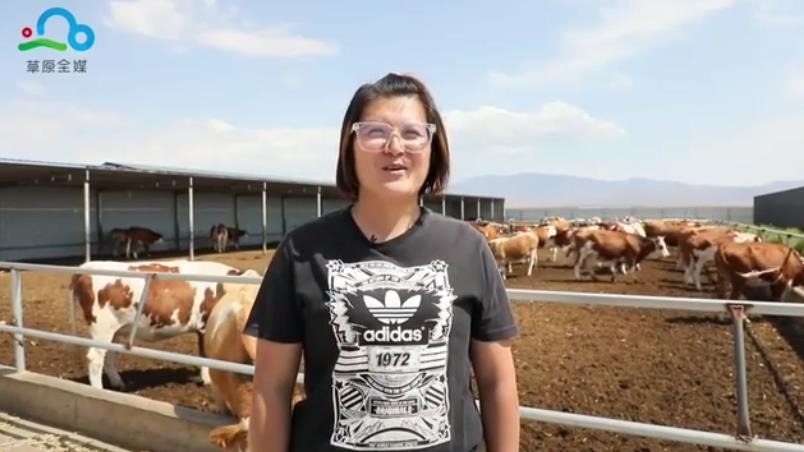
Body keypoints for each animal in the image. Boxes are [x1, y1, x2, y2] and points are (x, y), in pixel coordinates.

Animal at [68, 259, 250, 390]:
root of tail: (87, 266)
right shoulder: (204, 324)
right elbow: (206, 355)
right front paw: (207, 381)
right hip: (101, 328)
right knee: (95, 358)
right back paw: (98, 390)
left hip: (115, 330)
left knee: (109, 356)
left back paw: (118, 384)